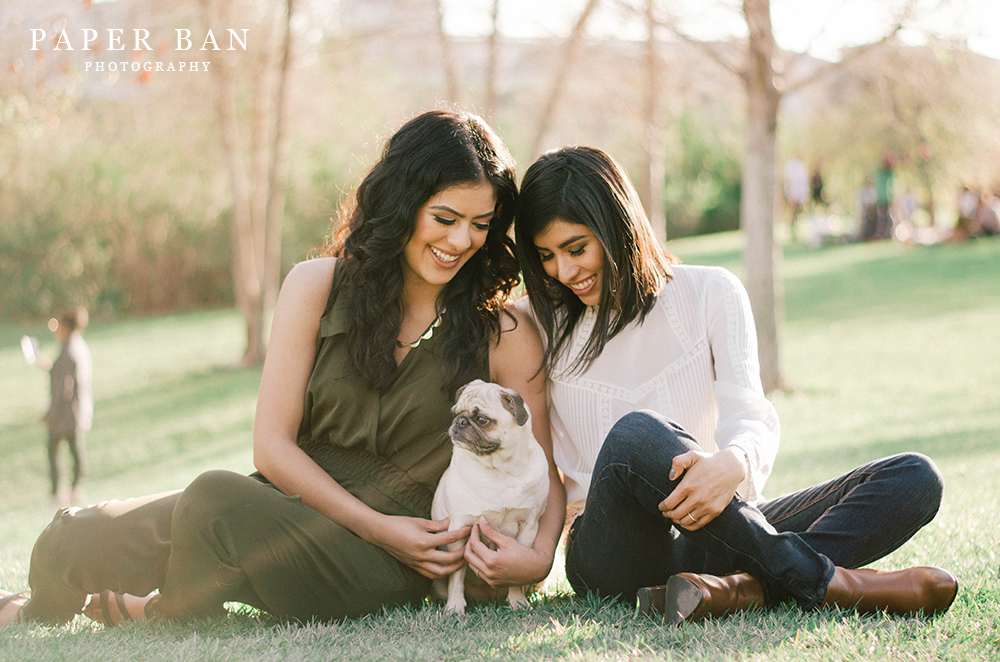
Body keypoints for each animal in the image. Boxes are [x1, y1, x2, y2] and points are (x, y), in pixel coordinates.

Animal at [432, 382, 552, 620]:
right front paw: (455, 606)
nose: (459, 422)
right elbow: (456, 575)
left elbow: (516, 574)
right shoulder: (459, 528)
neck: (499, 468)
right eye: (455, 413)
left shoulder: (528, 526)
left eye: (482, 420)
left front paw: (517, 602)